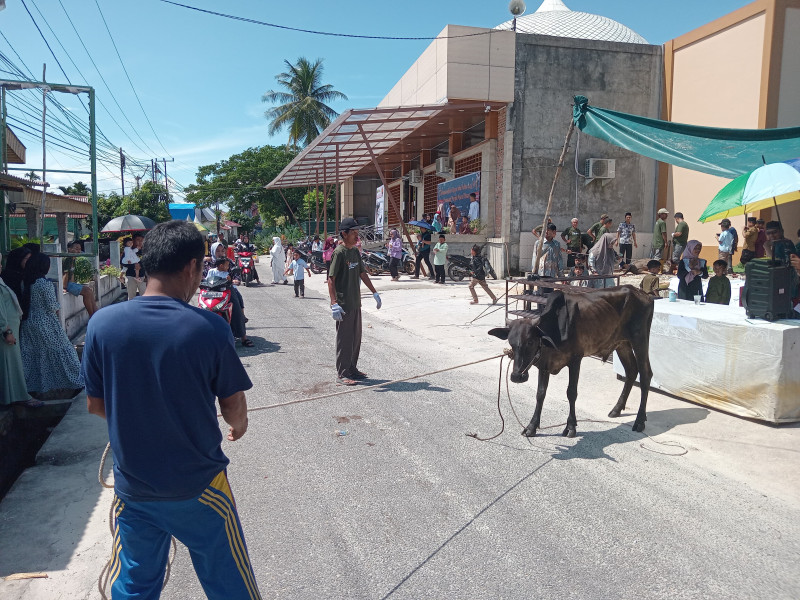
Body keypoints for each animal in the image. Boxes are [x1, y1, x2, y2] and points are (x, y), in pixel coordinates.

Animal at [490, 286, 652, 436]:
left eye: (530, 341)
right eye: (511, 342)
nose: (516, 376)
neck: (555, 329)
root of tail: (642, 293)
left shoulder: (575, 360)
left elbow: (571, 392)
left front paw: (570, 426)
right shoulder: (545, 365)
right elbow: (540, 394)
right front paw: (531, 426)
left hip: (640, 340)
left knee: (645, 374)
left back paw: (639, 421)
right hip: (622, 343)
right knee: (631, 371)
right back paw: (616, 409)